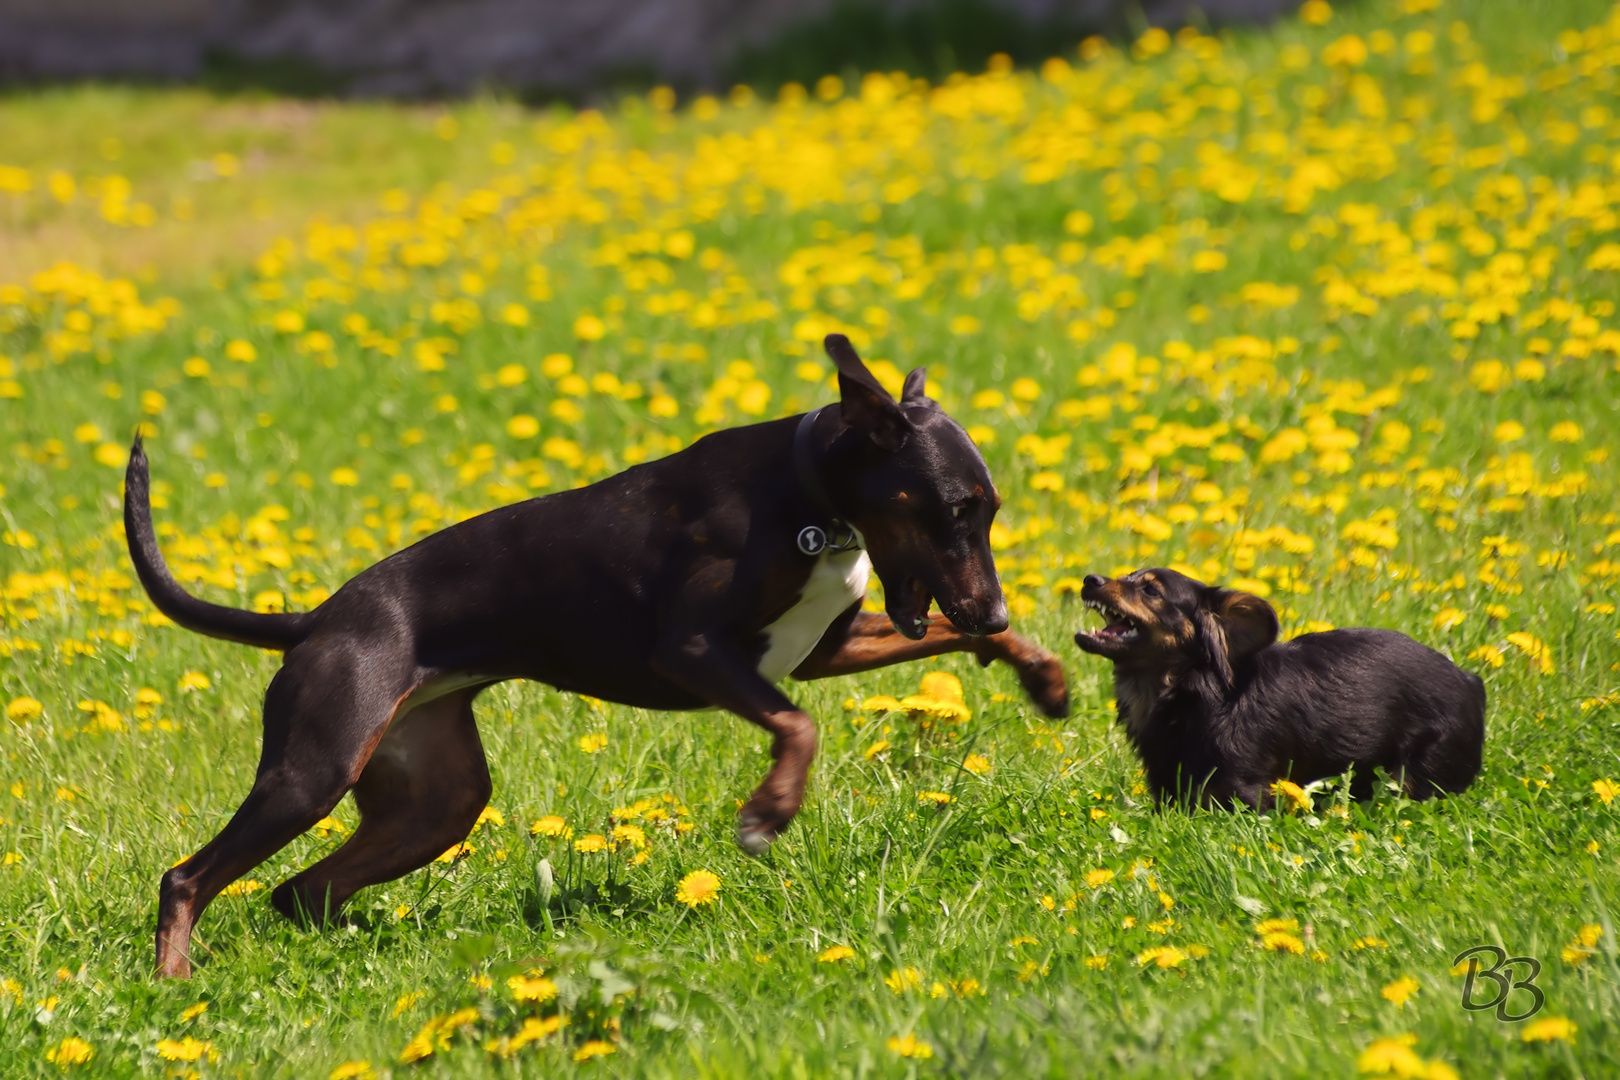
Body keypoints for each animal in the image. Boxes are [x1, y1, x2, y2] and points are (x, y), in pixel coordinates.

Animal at [123, 335, 1062, 977]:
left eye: (989, 508)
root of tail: (314, 621)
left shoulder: (817, 650)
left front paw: (1045, 677)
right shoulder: (695, 651)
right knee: (187, 878)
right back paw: (176, 982)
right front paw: (768, 813)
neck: (805, 499)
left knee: (301, 891)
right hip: (313, 770)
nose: (992, 599)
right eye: (953, 507)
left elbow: (946, 649)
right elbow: (799, 727)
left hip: (438, 800)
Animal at [1075, 569, 1483, 806]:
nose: (1090, 579)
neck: (1190, 692)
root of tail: (1471, 682)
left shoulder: (1247, 787)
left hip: (1415, 774)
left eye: (1150, 591)